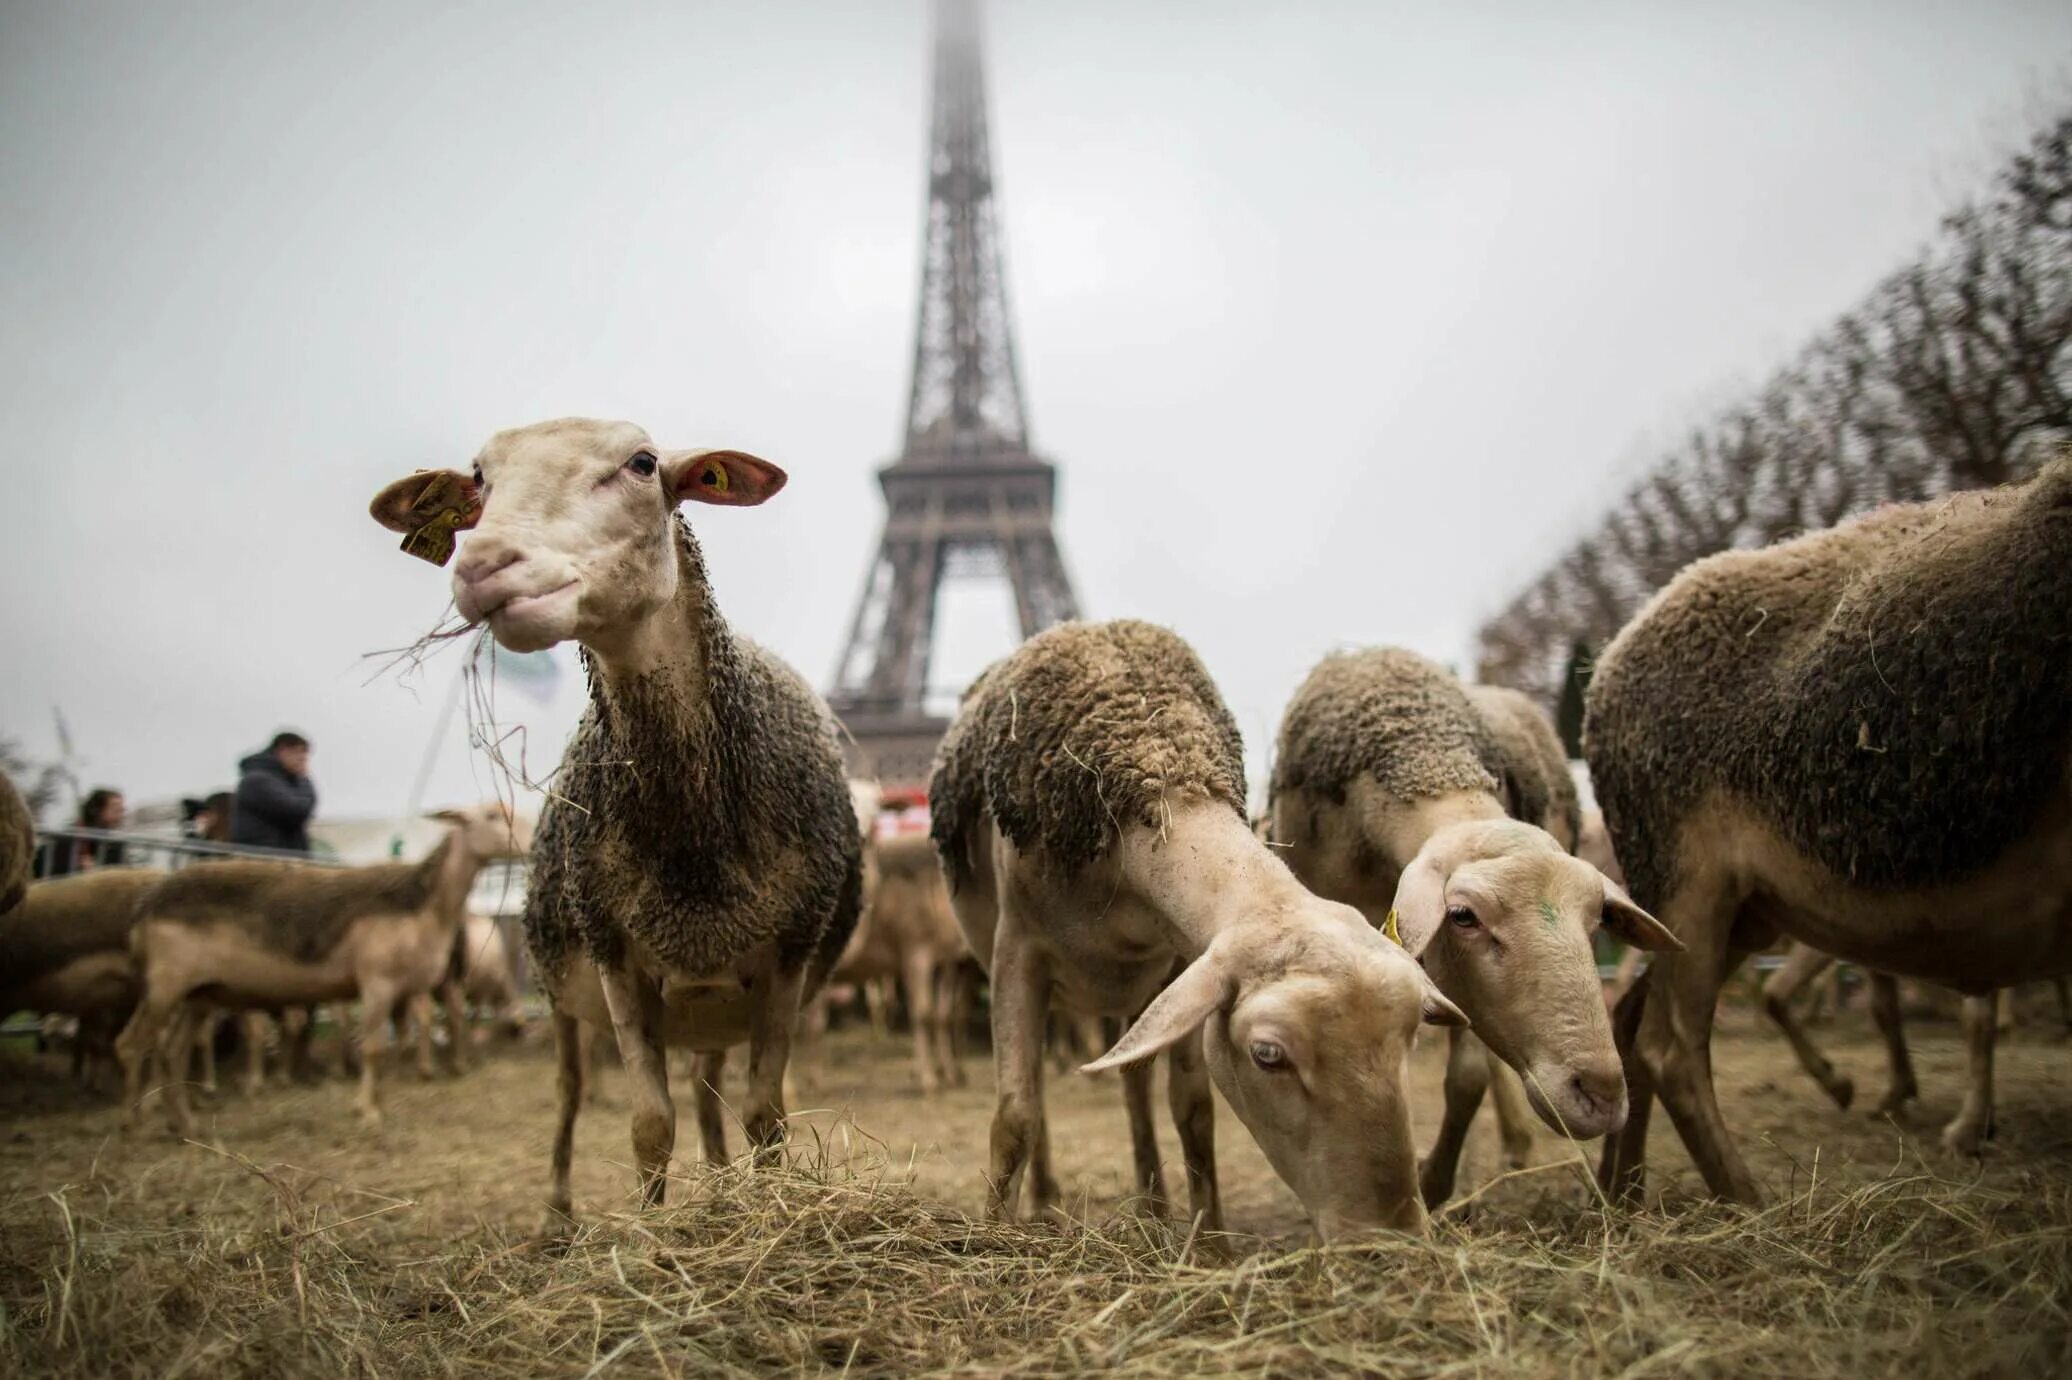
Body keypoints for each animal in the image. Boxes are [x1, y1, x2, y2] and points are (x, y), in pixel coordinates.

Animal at [368, 416, 861, 1218]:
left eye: (641, 463)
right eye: (478, 481)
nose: (484, 566)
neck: (694, 834)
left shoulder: (789, 956)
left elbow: (765, 1117)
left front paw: (762, 1208)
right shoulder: (614, 957)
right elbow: (649, 1126)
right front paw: (653, 1227)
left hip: (709, 1001)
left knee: (707, 1091)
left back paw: (718, 1188)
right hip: (562, 995)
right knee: (570, 1094)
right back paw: (559, 1214)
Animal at [932, 613, 1466, 1234]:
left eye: (1411, 1035)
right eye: (1268, 1055)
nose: (1390, 1237)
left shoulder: (1184, 964)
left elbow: (1192, 1109)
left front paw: (1210, 1240)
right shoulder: (1017, 953)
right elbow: (1015, 1115)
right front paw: (994, 1233)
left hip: (1140, 992)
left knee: (1134, 1084)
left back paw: (1154, 1205)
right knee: (1040, 1093)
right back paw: (1044, 1199)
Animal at [1259, 646, 1682, 1201]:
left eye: (1595, 920)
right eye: (1463, 916)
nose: (1603, 1094)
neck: (1420, 748)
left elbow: (1468, 1077)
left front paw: (1433, 1182)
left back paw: (1516, 1144)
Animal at [1583, 455, 2072, 1201]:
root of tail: (1607, 662)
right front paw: (1948, 1118)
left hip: (1744, 909)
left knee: (1636, 1023)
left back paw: (1627, 1198)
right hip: (1691, 883)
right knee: (1670, 1047)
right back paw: (1746, 1201)